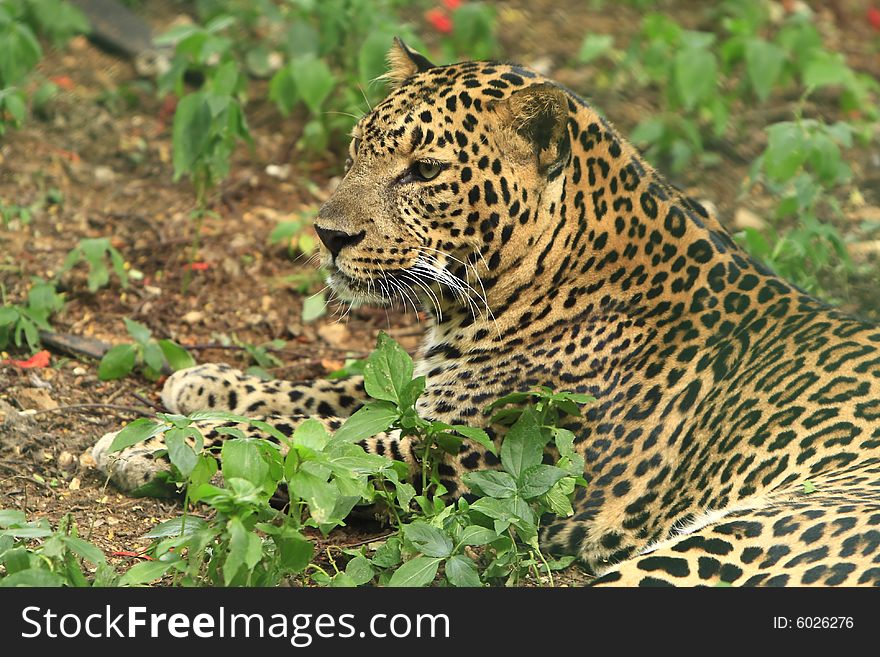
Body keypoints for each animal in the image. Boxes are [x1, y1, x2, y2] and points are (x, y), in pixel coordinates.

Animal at [91, 39, 880, 584]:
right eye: (357, 150)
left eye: (424, 171)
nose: (328, 234)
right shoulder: (425, 396)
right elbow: (325, 399)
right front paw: (198, 385)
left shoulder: (458, 458)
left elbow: (314, 445)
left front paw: (151, 448)